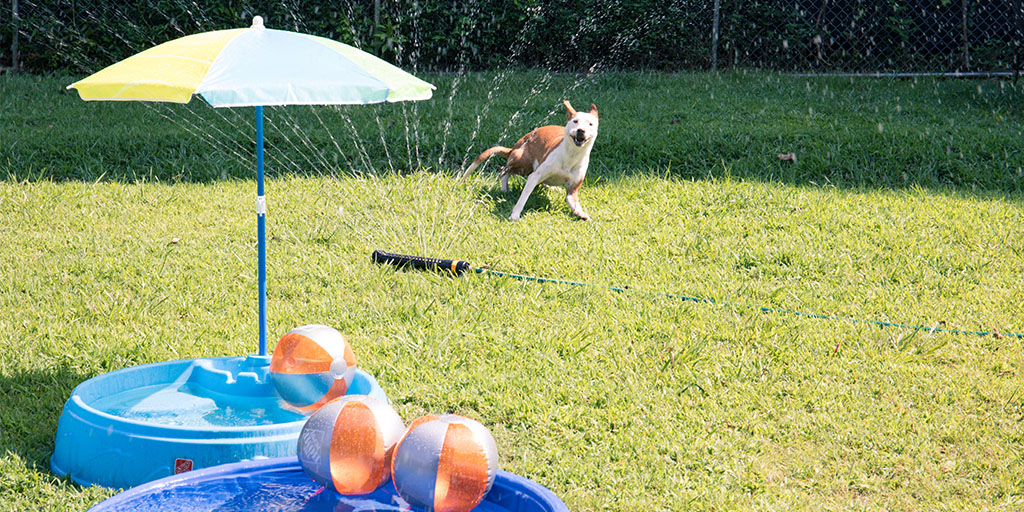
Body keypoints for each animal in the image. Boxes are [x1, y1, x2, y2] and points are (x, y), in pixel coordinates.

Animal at [466, 99, 598, 220]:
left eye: (590, 124)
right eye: (575, 121)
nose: (581, 130)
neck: (572, 155)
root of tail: (514, 147)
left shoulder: (572, 190)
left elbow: (573, 202)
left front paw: (580, 213)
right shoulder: (534, 176)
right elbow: (523, 198)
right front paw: (515, 215)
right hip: (523, 163)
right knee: (503, 170)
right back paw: (504, 189)